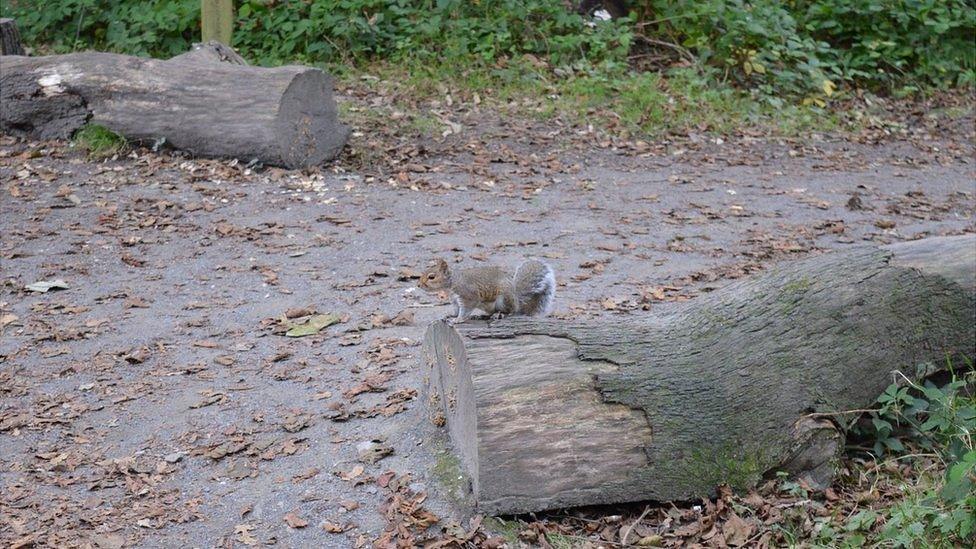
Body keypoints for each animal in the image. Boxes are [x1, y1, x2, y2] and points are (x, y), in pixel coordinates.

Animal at [420, 260, 556, 324]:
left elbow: (465, 310)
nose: (418, 285)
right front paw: (451, 316)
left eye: (432, 277)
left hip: (504, 299)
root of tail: (517, 300)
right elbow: (456, 309)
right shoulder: (454, 300)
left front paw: (458, 320)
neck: (452, 282)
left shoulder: (468, 296)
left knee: (511, 312)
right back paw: (481, 316)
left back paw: (500, 314)